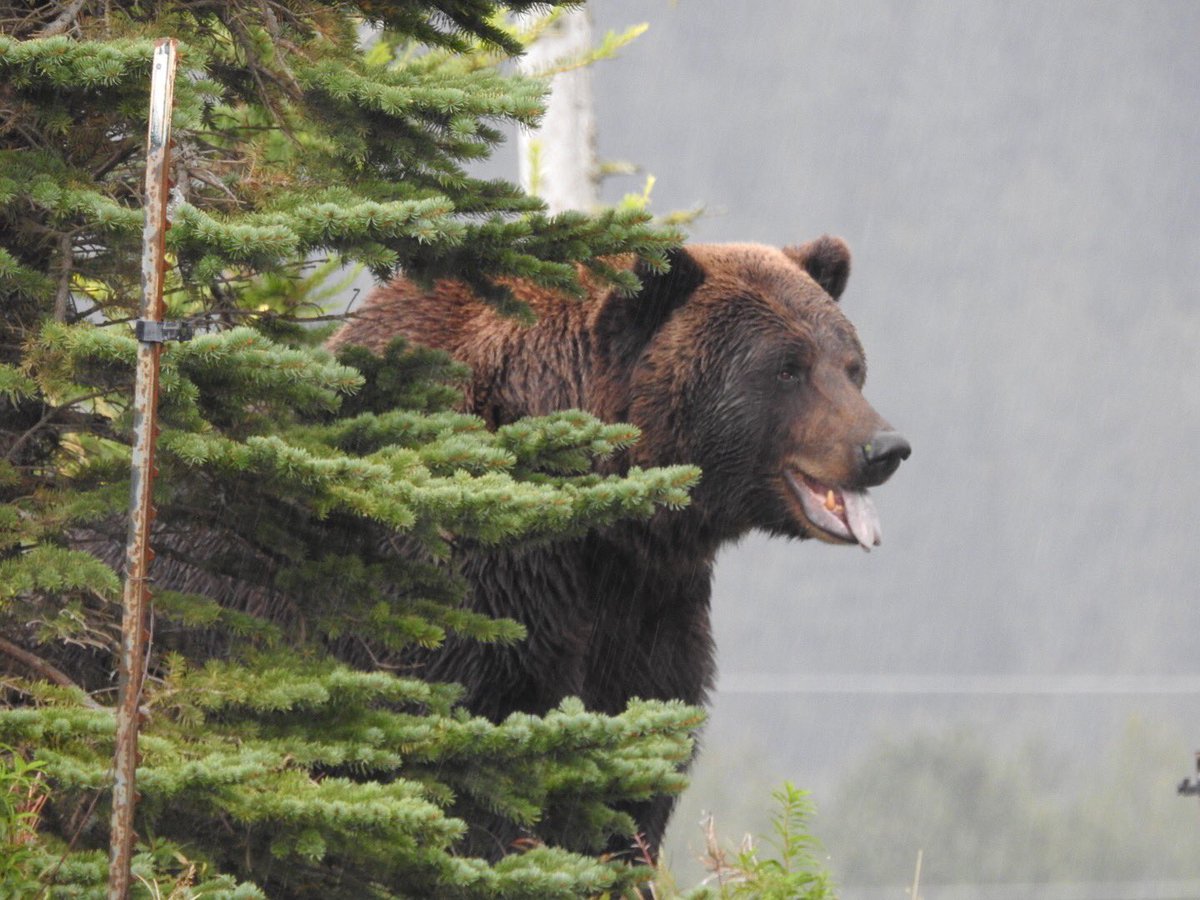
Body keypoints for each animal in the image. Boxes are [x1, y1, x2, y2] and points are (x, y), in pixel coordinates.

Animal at [328, 236, 907, 864]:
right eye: (786, 367)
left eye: (851, 367)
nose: (884, 447)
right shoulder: (461, 591)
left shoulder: (649, 610)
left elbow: (635, 777)